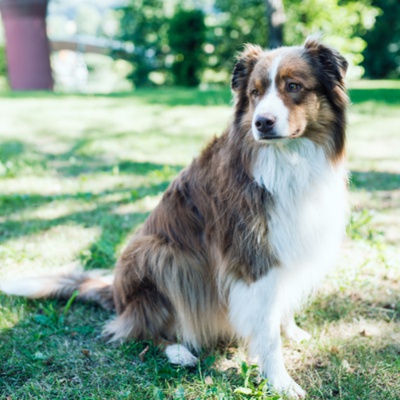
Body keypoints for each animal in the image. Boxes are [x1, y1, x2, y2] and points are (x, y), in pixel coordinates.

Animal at [1, 36, 346, 396]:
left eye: (293, 86)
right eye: (255, 93)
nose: (261, 122)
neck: (287, 159)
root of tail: (118, 297)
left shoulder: (287, 243)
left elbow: (282, 305)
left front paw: (293, 333)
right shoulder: (250, 257)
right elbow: (266, 329)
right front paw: (280, 381)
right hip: (160, 253)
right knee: (134, 329)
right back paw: (178, 350)